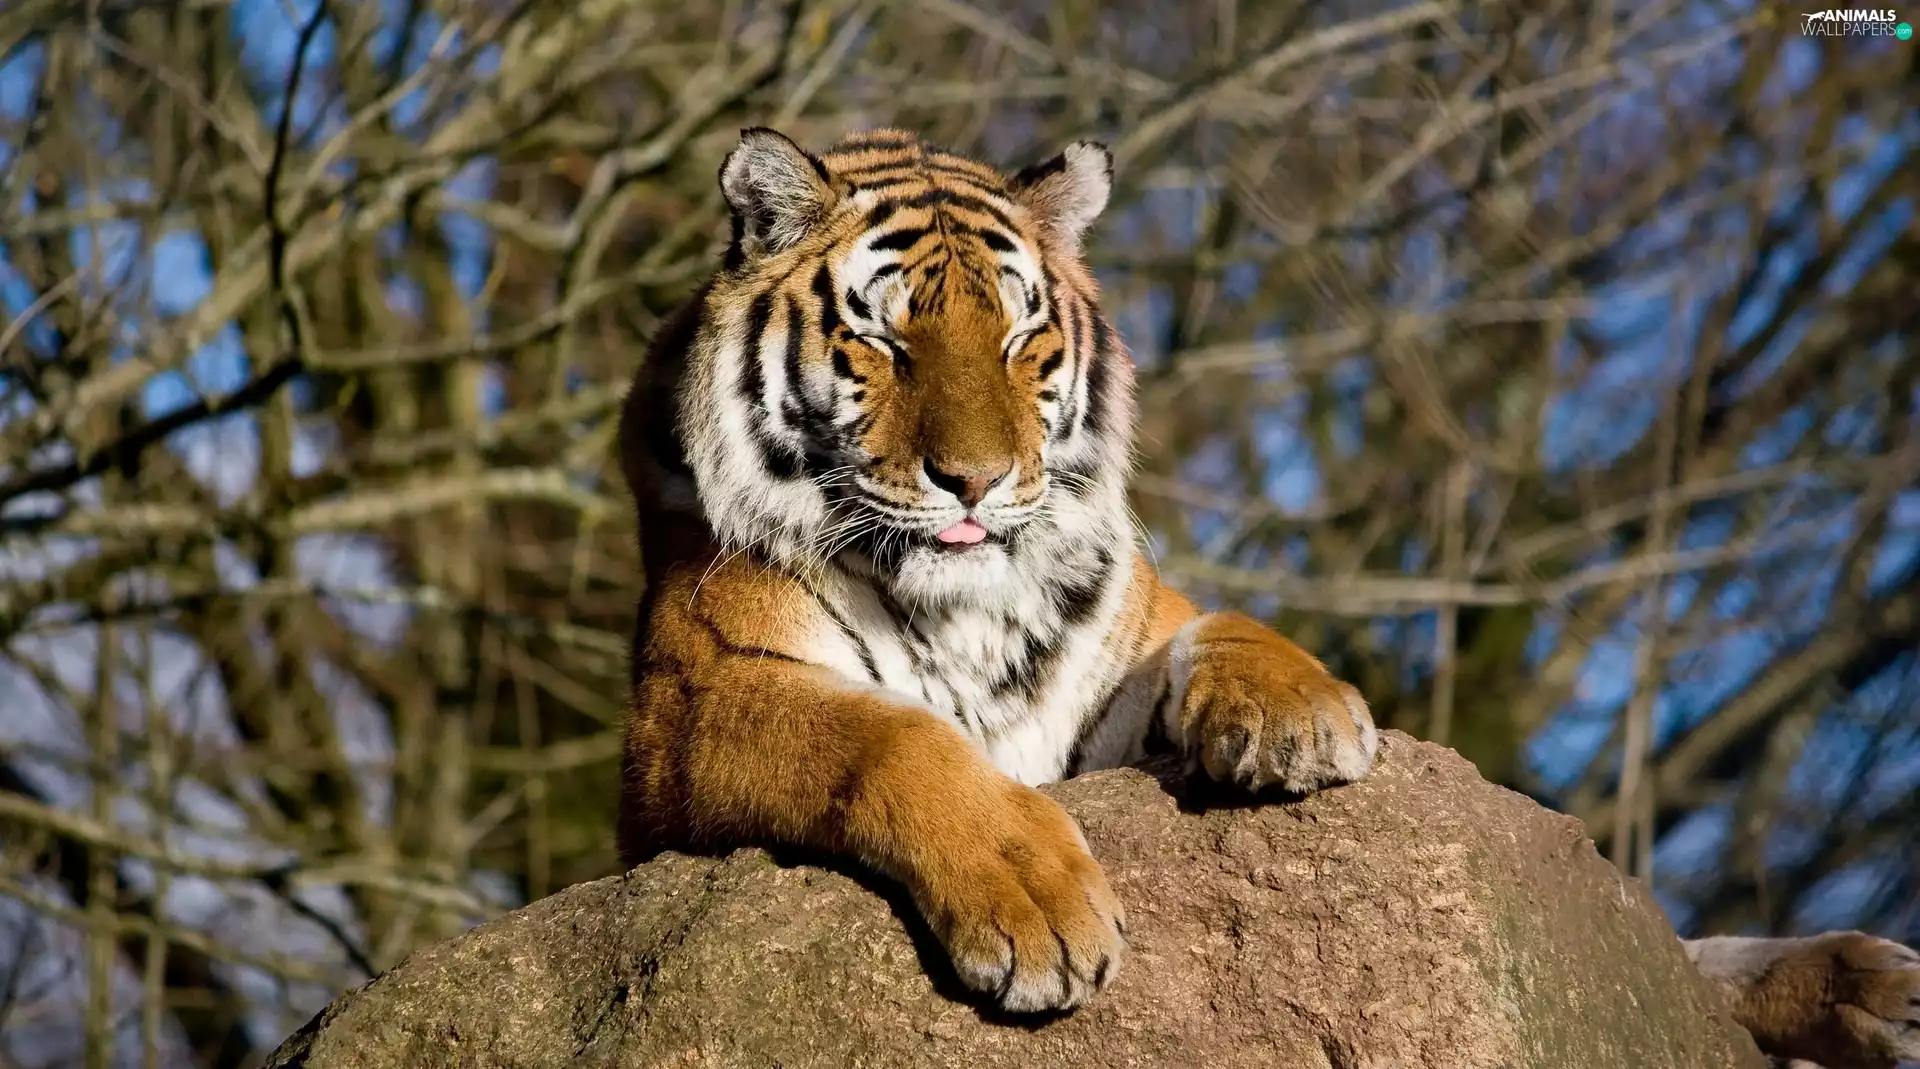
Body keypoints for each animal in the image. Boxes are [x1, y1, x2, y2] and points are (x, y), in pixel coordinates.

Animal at [614, 127, 1920, 1065]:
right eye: (881, 342)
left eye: (1022, 340)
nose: (975, 479)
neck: (962, 606)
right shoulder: (692, 711)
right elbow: (890, 740)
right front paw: (1039, 903)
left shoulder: (1117, 645)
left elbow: (1221, 623)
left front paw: (1301, 719)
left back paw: (1874, 984)